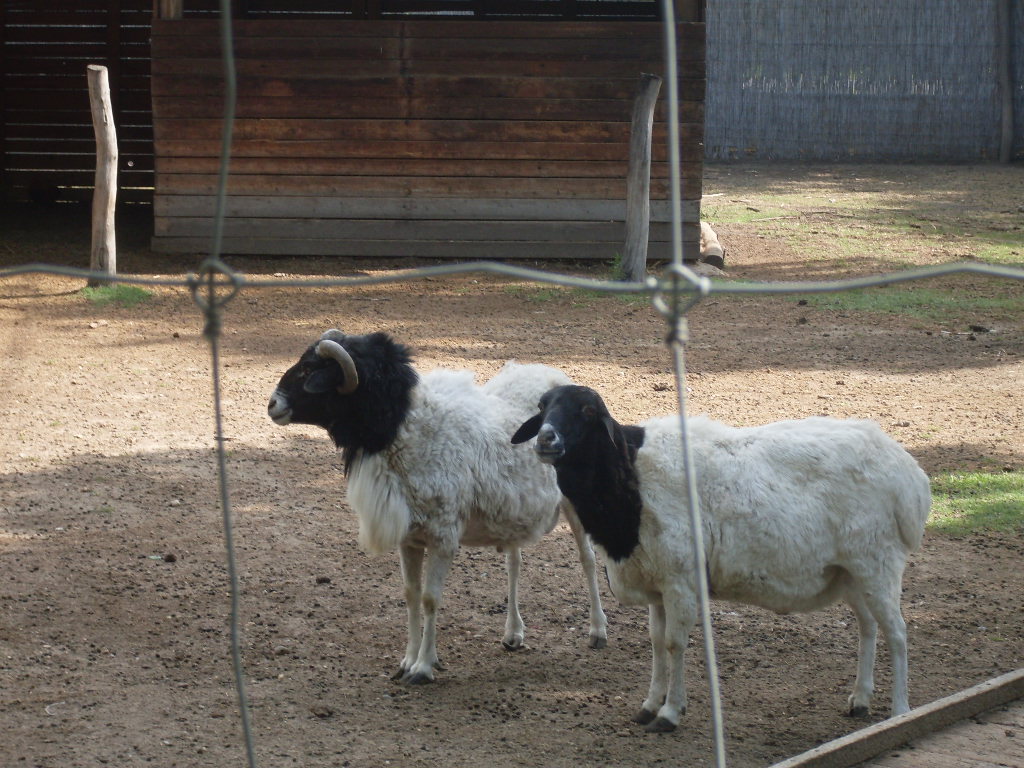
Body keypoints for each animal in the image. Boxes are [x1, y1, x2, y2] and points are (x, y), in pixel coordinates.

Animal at [267, 330, 608, 684]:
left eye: (309, 369)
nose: (272, 404)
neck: (407, 430)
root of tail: (554, 375)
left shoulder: (443, 536)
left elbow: (430, 599)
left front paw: (423, 667)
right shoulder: (409, 537)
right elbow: (410, 594)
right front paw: (406, 661)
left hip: (575, 502)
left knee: (587, 559)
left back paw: (598, 630)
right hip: (513, 511)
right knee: (514, 562)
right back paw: (513, 633)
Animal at [512, 385, 931, 732]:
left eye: (586, 410)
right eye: (543, 407)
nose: (546, 438)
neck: (629, 477)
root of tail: (910, 476)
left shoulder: (680, 578)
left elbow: (675, 644)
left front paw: (669, 714)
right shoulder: (656, 581)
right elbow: (655, 641)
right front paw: (649, 705)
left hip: (877, 563)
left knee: (897, 633)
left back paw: (899, 712)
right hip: (850, 572)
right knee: (868, 626)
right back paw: (860, 700)